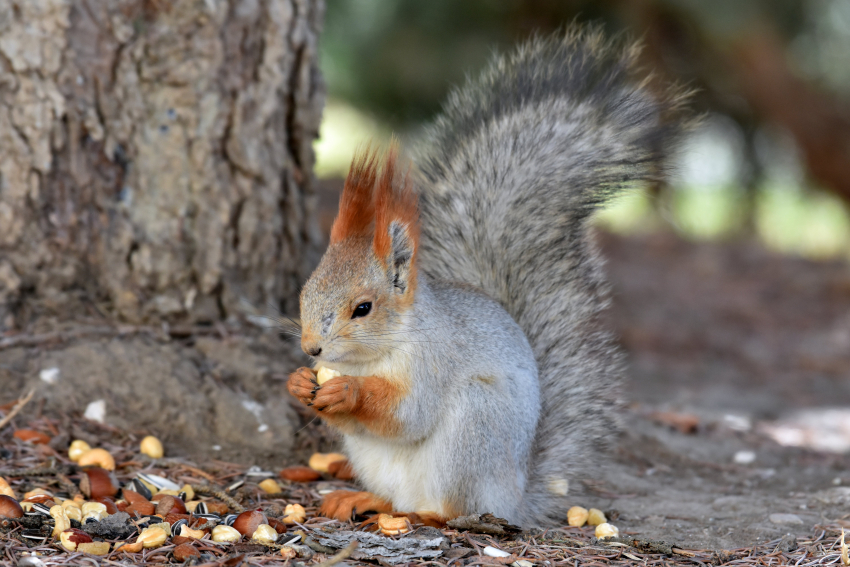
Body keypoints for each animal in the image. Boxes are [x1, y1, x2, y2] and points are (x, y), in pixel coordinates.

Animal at [284, 27, 684, 528]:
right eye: (305, 292)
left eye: (363, 308)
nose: (311, 348)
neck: (376, 354)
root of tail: (514, 497)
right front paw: (299, 383)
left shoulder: (433, 362)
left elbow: (408, 415)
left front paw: (349, 391)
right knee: (399, 499)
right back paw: (365, 500)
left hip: (474, 427)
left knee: (451, 510)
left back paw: (425, 515)